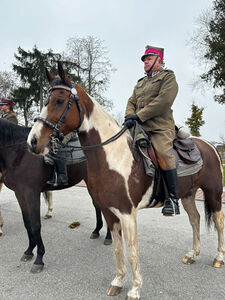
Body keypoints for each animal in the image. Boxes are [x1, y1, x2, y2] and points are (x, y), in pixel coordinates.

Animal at [0, 119, 110, 272]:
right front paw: (29, 251)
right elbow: (27, 223)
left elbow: (35, 225)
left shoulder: (31, 193)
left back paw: (109, 237)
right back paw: (96, 230)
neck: (19, 153)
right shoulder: (20, 193)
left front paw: (39, 258)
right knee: (97, 205)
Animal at [27, 63, 224, 300]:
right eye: (46, 100)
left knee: (219, 222)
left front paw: (135, 288)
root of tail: (209, 145)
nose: (33, 141)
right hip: (187, 195)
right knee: (195, 219)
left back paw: (218, 258)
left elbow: (131, 251)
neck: (112, 155)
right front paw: (118, 282)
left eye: (59, 100)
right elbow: (118, 249)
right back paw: (193, 254)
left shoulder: (128, 214)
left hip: (213, 193)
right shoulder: (109, 212)